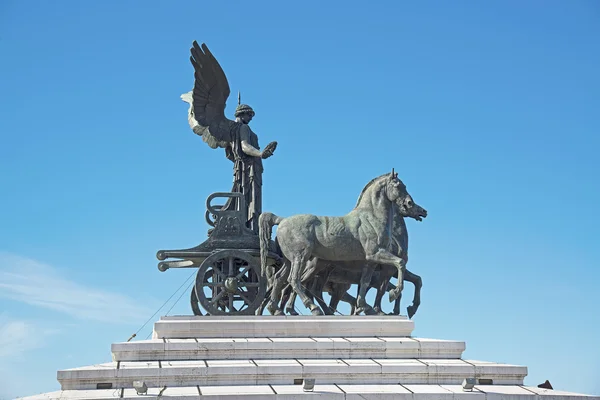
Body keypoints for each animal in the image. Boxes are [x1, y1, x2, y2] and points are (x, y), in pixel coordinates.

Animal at [258, 172, 426, 316]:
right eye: (398, 186)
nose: (411, 204)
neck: (371, 217)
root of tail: (281, 220)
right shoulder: (379, 256)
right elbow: (400, 265)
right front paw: (392, 296)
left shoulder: (371, 261)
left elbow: (365, 283)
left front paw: (366, 307)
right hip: (301, 258)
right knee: (294, 281)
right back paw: (312, 308)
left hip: (292, 261)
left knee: (280, 279)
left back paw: (276, 309)